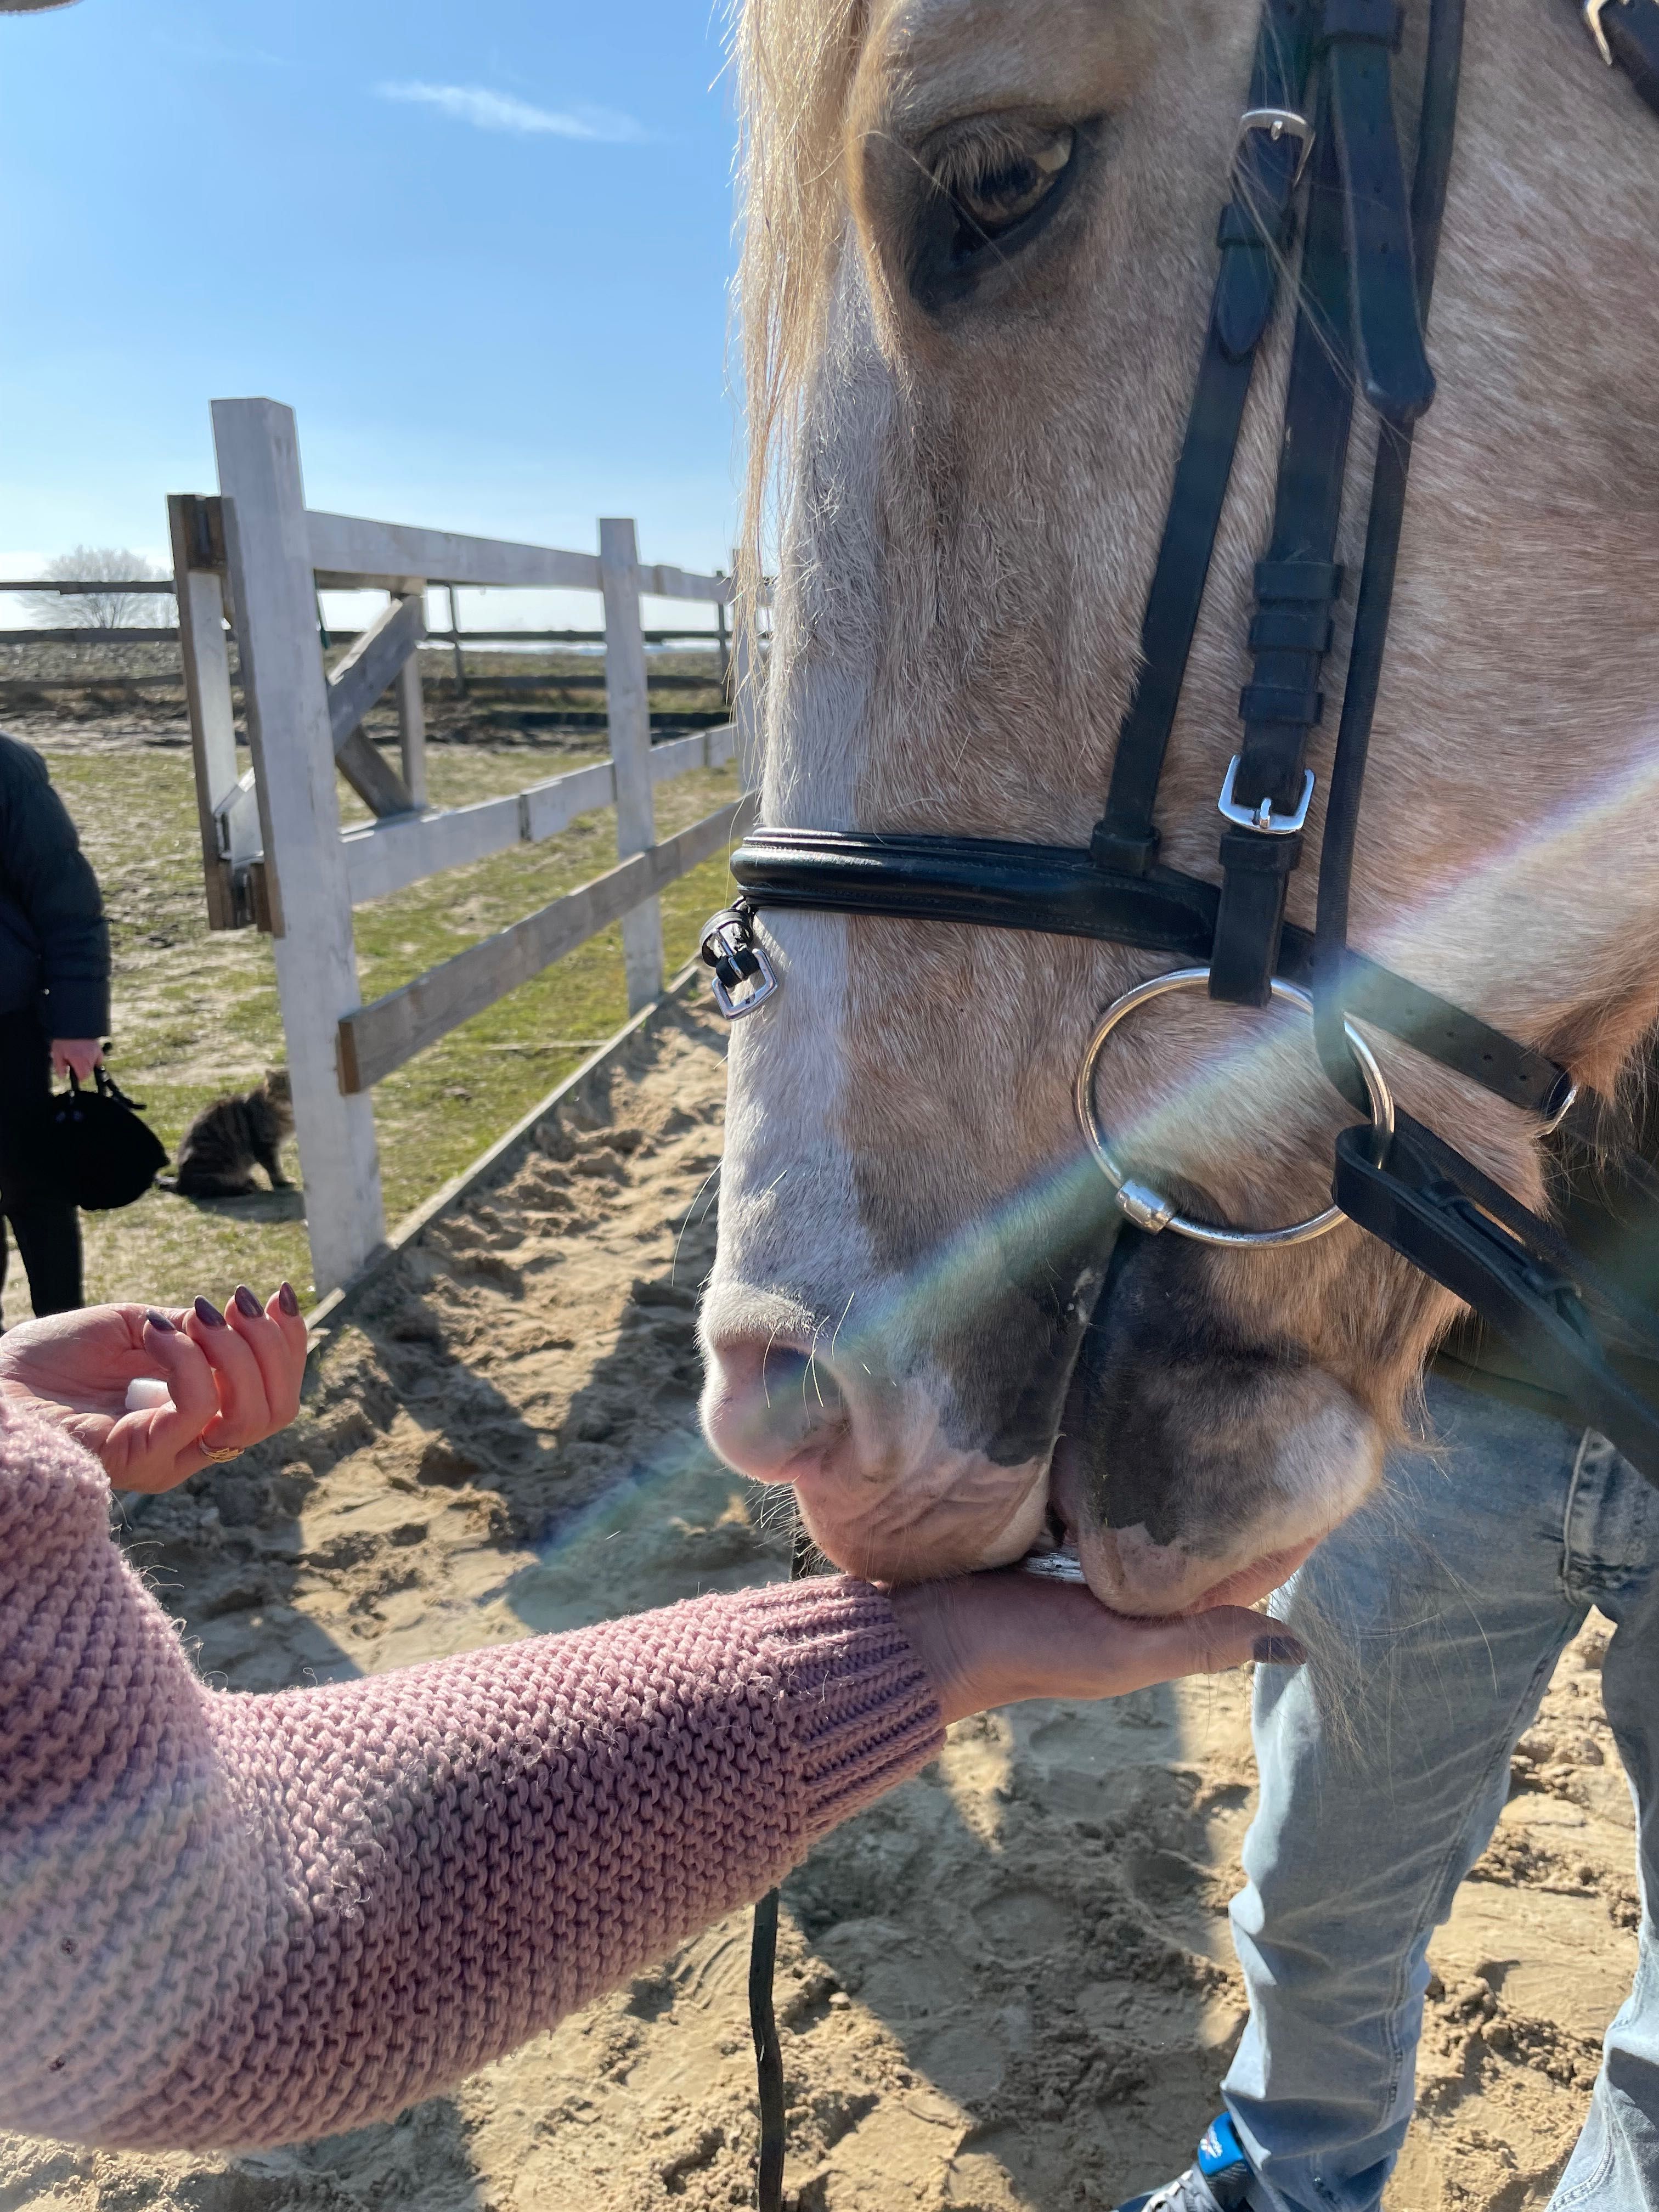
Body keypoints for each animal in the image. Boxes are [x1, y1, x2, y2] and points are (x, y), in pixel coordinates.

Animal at [171, 1066, 298, 1194]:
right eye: (285, 1094)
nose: (293, 1102)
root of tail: (179, 1183)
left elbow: (277, 1165)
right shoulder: (264, 1146)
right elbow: (275, 1168)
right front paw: (282, 1182)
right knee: (210, 1189)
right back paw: (244, 1188)